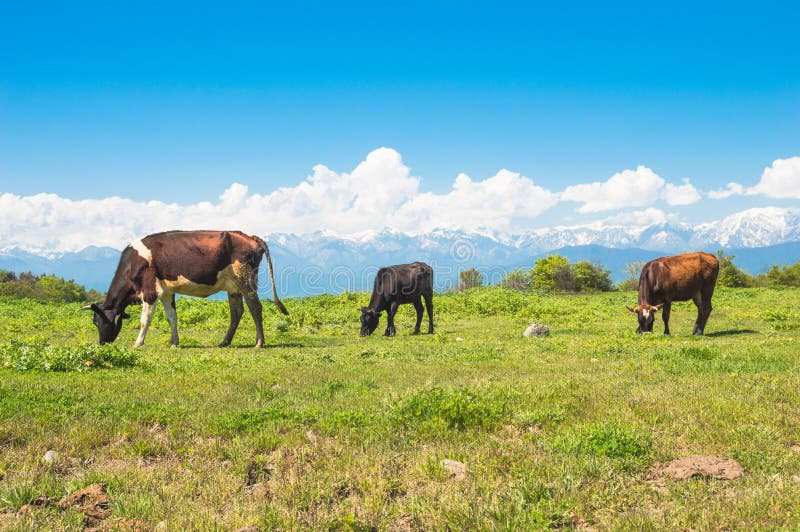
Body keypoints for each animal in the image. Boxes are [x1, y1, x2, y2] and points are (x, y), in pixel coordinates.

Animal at [84, 230, 290, 348]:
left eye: (98, 322)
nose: (102, 343)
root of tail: (250, 236)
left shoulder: (150, 292)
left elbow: (145, 321)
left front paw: (138, 343)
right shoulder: (167, 292)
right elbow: (171, 317)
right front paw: (174, 343)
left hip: (245, 280)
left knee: (255, 307)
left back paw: (259, 342)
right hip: (233, 286)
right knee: (237, 312)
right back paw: (224, 342)